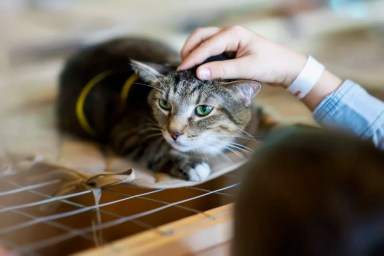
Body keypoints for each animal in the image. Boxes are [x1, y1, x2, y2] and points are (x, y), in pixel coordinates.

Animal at [56, 37, 264, 182]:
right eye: (164, 104)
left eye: (203, 110)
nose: (174, 133)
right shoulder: (126, 132)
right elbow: (156, 149)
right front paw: (189, 164)